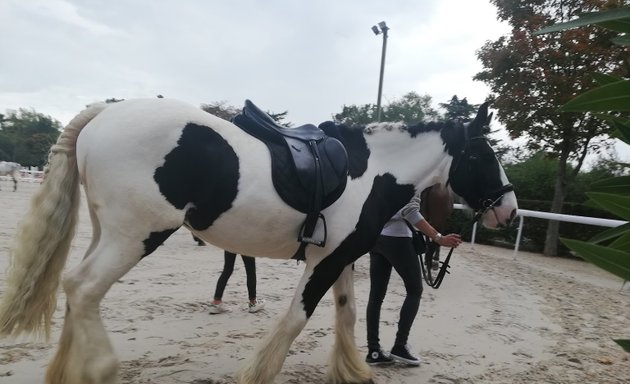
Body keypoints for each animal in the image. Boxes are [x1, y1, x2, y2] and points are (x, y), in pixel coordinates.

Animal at [0, 98, 520, 384]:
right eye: (482, 154)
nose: (510, 210)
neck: (370, 170)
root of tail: (108, 111)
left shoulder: (341, 258)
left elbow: (348, 313)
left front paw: (352, 370)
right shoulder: (324, 262)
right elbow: (296, 319)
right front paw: (259, 373)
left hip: (108, 232)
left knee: (75, 288)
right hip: (137, 235)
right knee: (84, 288)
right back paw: (100, 370)